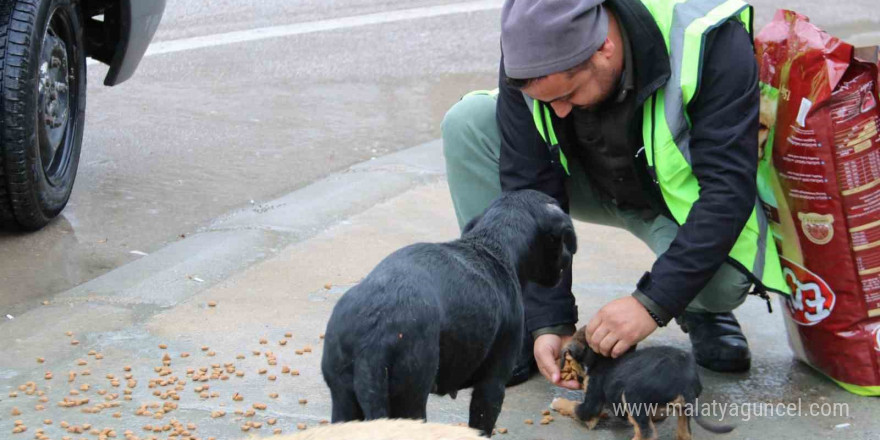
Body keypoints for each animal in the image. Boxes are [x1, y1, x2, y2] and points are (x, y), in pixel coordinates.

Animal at [320, 190, 576, 436]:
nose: (568, 257)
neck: (491, 246)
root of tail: (373, 339)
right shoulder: (491, 385)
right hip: (410, 400)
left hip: (344, 401)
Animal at [552, 324, 736, 438]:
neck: (600, 358)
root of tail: (685, 383)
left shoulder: (592, 403)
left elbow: (575, 408)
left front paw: (557, 402)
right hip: (683, 409)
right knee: (684, 433)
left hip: (632, 396)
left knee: (648, 434)